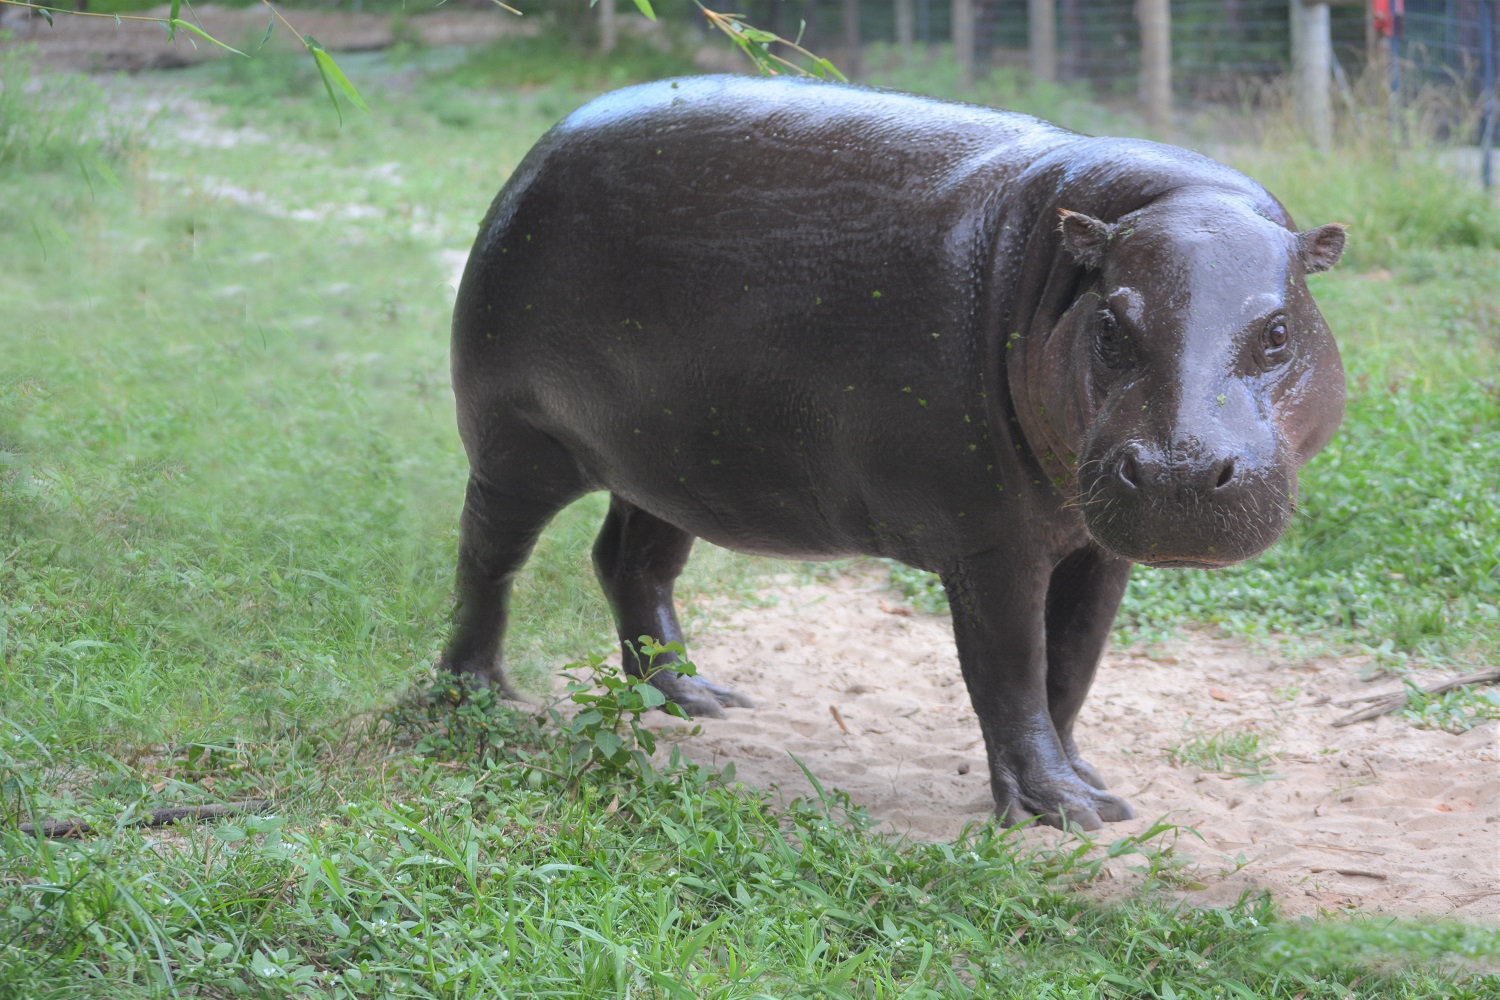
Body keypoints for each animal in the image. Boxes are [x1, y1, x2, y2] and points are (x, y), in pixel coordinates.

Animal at [441, 76, 1350, 827]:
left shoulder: (1096, 547)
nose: (1181, 470)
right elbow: (1012, 671)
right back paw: (475, 694)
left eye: (1278, 330)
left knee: (630, 562)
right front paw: (1062, 810)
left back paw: (694, 700)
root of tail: (539, 150)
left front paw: (1087, 783)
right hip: (518, 443)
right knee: (488, 558)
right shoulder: (990, 546)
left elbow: (1072, 669)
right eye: (1110, 324)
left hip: (673, 460)